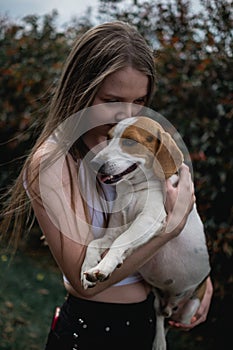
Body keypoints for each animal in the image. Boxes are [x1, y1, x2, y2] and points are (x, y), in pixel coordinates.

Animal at [81, 117, 210, 350]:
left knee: (170, 320)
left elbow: (121, 241)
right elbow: (95, 243)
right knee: (160, 315)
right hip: (158, 299)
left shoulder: (149, 221)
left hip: (189, 310)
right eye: (108, 137)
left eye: (130, 142)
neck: (133, 189)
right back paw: (159, 341)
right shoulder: (116, 229)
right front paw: (89, 267)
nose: (95, 163)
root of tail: (171, 302)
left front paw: (103, 267)